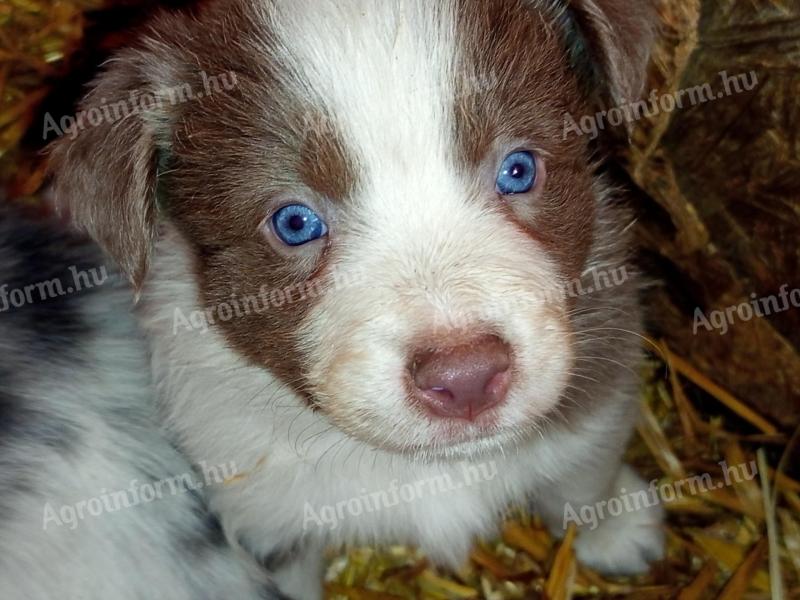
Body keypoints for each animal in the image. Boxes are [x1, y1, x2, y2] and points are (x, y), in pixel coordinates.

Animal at [4, 2, 664, 596]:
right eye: (295, 222)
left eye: (519, 169)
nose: (468, 377)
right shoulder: (262, 514)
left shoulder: (600, 394)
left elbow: (582, 478)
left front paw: (615, 528)